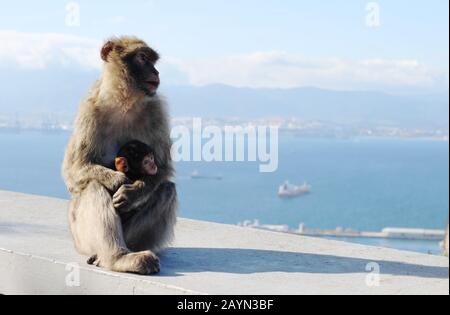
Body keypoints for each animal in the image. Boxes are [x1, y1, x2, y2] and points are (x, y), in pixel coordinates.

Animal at [62, 35, 178, 276]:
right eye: (142, 58)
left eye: (152, 60)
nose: (156, 72)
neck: (124, 101)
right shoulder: (89, 109)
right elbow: (73, 169)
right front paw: (117, 179)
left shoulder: (156, 110)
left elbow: (163, 168)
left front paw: (132, 192)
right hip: (81, 238)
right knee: (93, 186)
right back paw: (117, 257)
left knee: (166, 190)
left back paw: (128, 254)